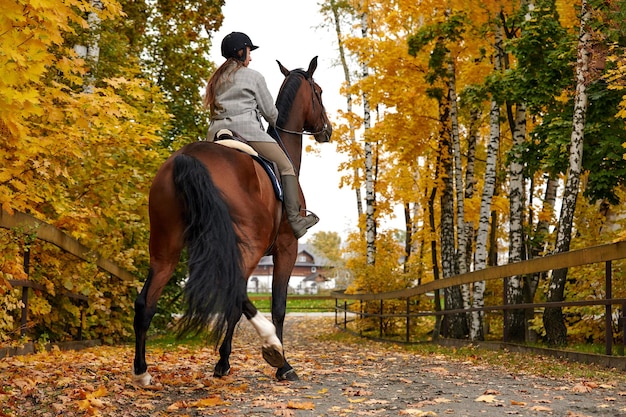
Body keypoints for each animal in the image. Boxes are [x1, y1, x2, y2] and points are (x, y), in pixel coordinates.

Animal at [133, 57, 332, 386]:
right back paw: (272, 347)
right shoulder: (287, 249)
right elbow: (278, 306)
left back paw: (141, 372)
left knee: (145, 302)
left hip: (165, 248)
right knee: (234, 293)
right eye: (318, 91)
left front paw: (223, 362)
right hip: (245, 247)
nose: (327, 130)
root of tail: (187, 159)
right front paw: (282, 365)